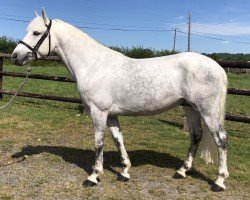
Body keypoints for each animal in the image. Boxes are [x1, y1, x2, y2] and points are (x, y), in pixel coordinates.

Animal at [12, 9, 229, 192]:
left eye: (37, 32)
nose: (15, 56)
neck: (93, 65)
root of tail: (216, 67)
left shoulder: (98, 112)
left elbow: (99, 142)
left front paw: (93, 176)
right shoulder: (111, 115)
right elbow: (118, 140)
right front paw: (124, 171)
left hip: (207, 111)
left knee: (221, 139)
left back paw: (219, 181)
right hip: (190, 108)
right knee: (196, 136)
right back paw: (181, 171)